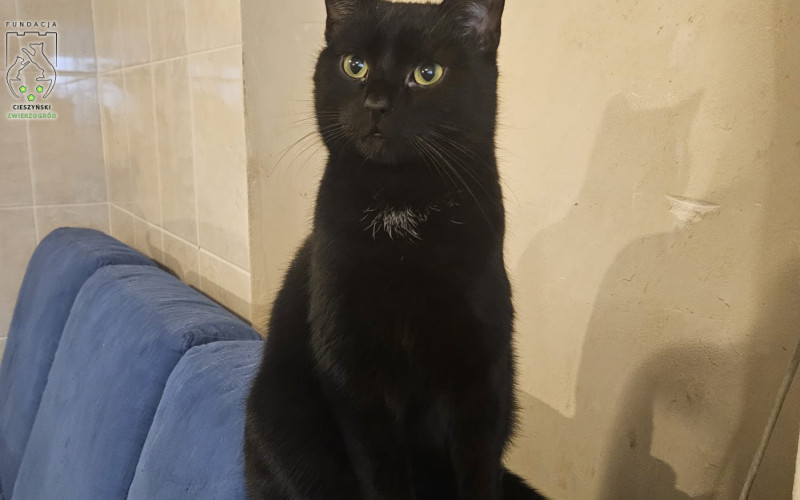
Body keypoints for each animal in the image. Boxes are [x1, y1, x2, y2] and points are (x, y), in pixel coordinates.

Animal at [244, 0, 544, 498]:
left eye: (427, 73)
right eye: (355, 66)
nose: (376, 105)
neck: (401, 211)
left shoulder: (481, 366)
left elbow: (479, 464)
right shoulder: (352, 369)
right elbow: (382, 470)